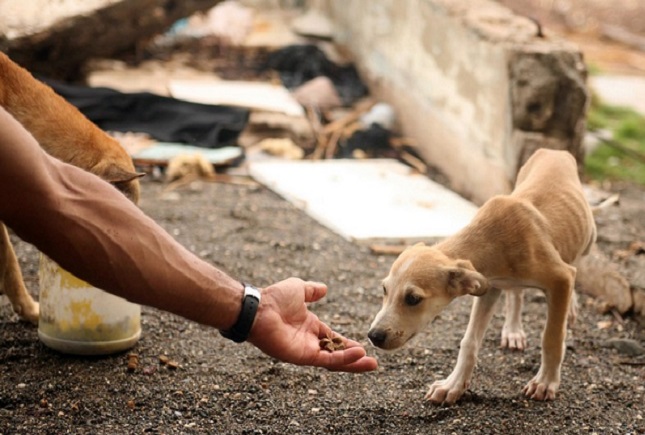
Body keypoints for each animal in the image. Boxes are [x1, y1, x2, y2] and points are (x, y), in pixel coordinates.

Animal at [368, 150, 592, 406]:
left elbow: (551, 337)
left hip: (587, 238)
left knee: (575, 262)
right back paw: (513, 331)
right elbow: (469, 342)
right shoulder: (489, 287)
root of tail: (554, 151)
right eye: (384, 290)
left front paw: (545, 382)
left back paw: (570, 308)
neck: (493, 238)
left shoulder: (560, 278)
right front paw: (452, 385)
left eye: (413, 299)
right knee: (516, 293)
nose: (373, 336)